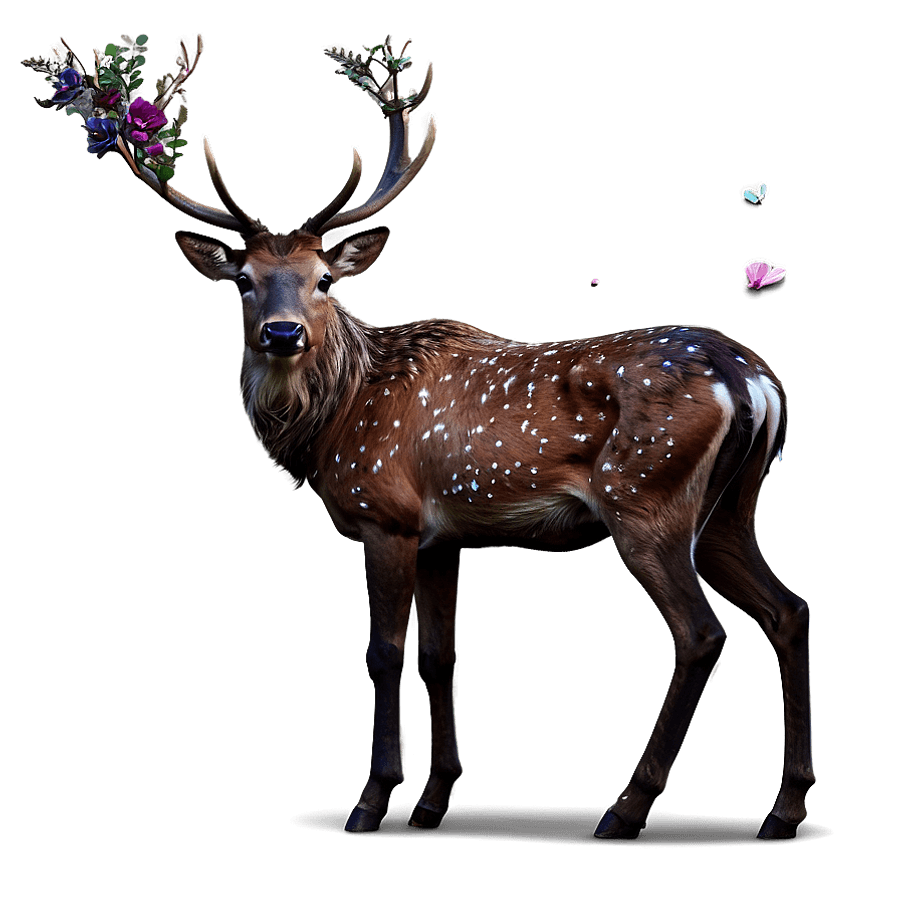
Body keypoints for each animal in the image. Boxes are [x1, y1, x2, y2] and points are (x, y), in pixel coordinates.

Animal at [67, 40, 815, 841]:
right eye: (243, 278)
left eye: (324, 278)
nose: (282, 333)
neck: (334, 421)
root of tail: (752, 380)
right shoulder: (445, 536)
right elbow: (441, 659)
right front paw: (434, 797)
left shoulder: (385, 515)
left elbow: (384, 655)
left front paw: (372, 798)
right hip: (733, 507)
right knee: (789, 609)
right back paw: (784, 806)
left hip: (646, 498)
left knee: (700, 635)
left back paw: (626, 807)